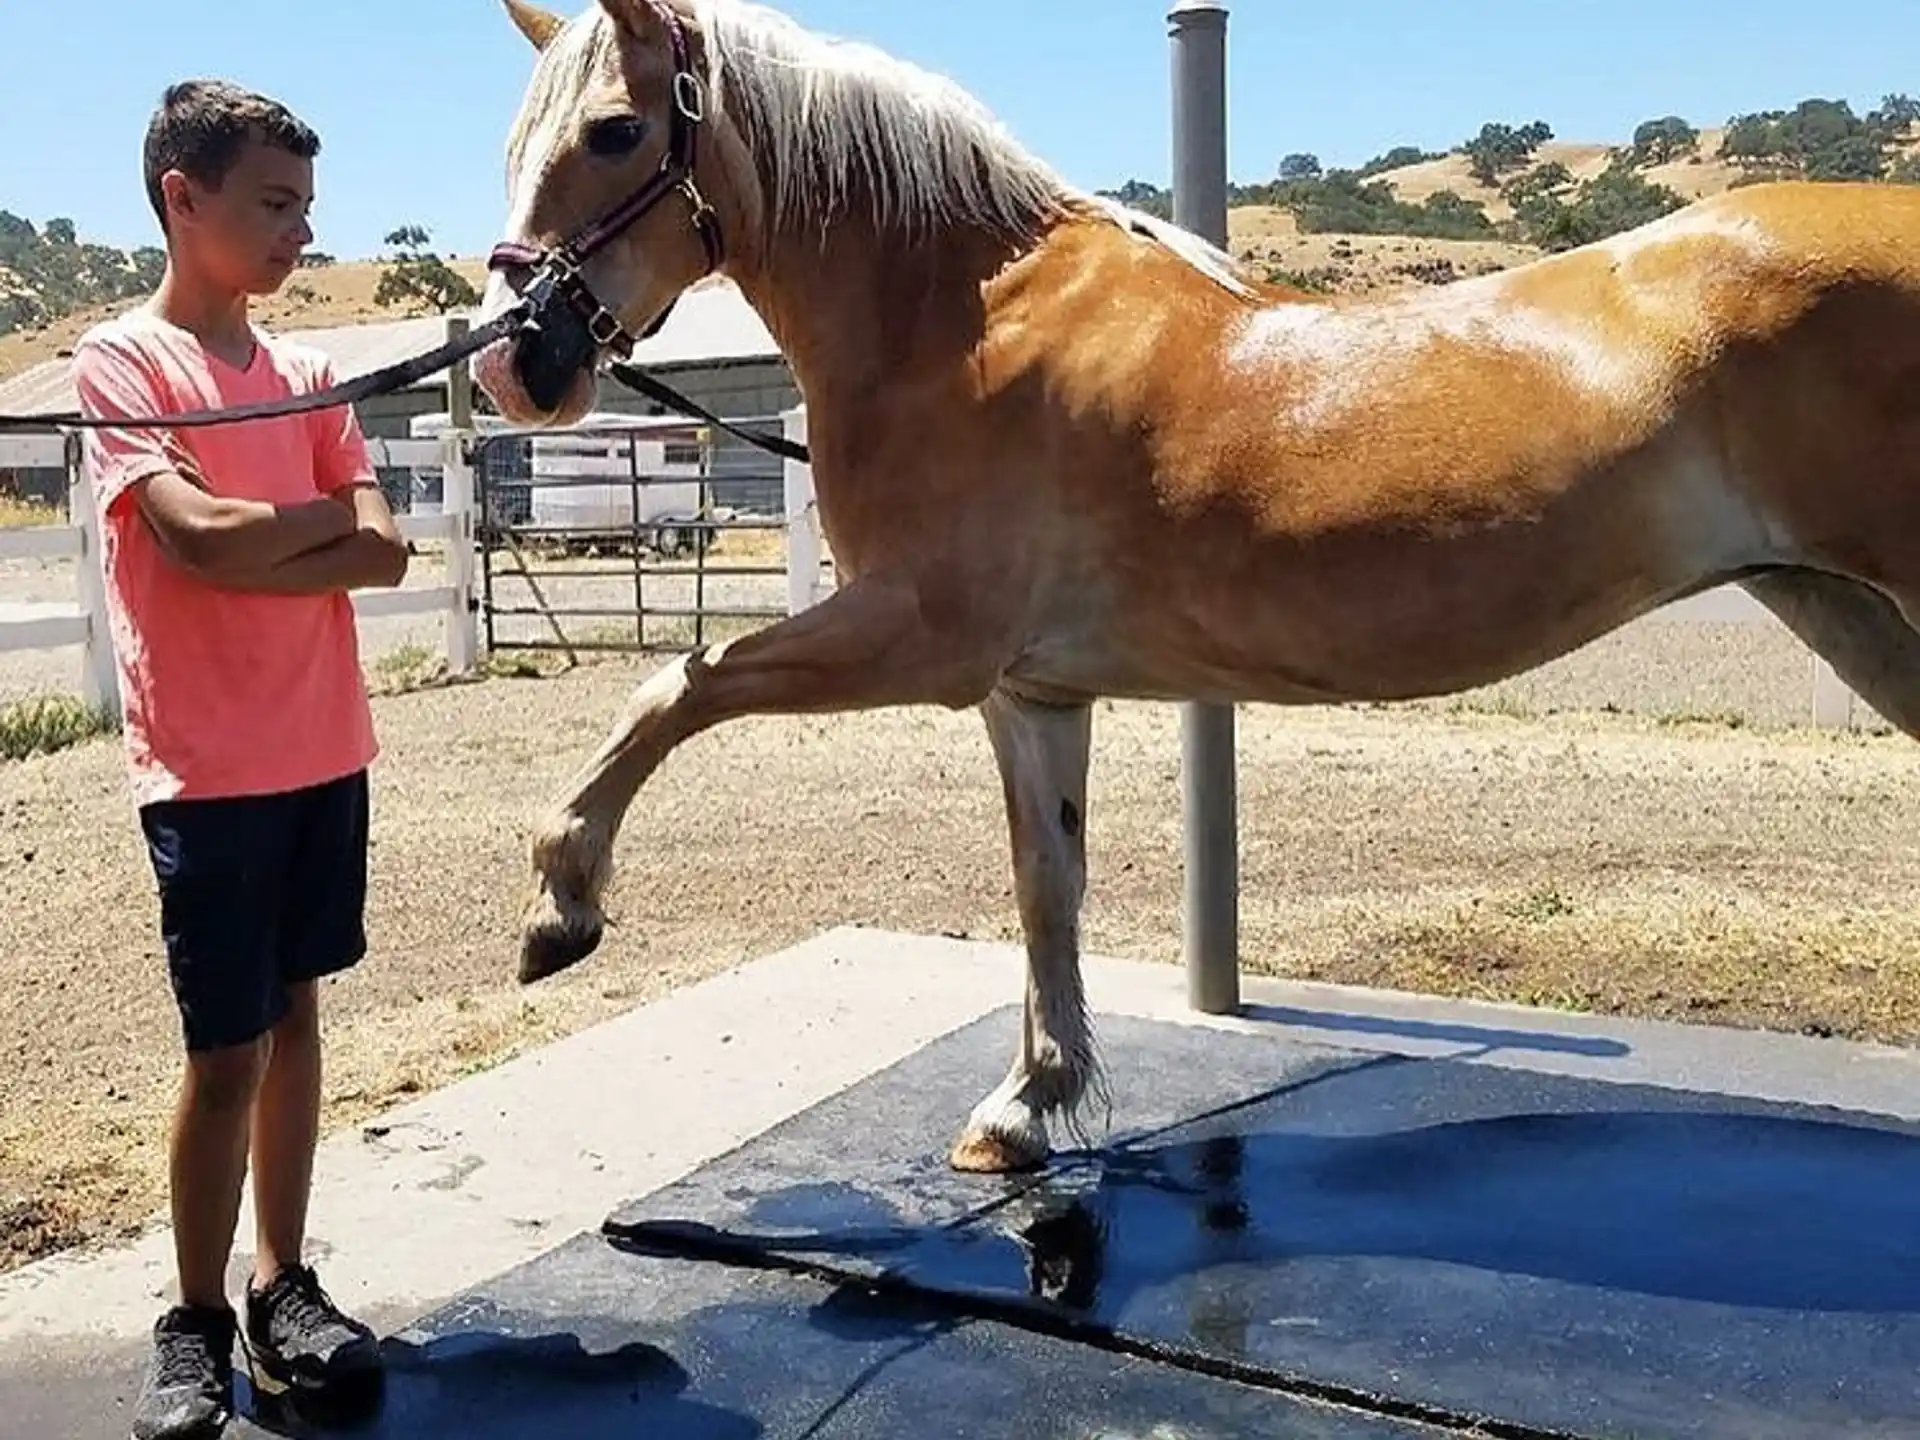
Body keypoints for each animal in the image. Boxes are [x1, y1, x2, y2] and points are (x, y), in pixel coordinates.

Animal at [472, 0, 1920, 1175]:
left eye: (613, 131)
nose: (515, 368)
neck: (963, 316)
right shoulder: (1029, 690)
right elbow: (1045, 883)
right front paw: (1027, 1105)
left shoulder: (919, 639)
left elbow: (673, 689)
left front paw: (561, 906)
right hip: (1843, 608)